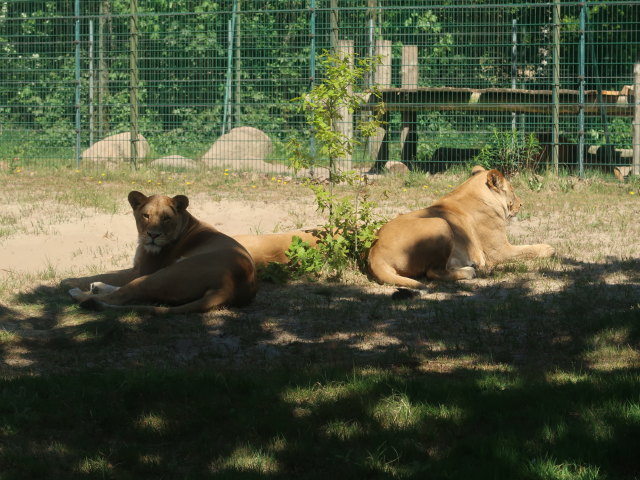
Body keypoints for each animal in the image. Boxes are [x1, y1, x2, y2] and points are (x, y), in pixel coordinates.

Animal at [66, 191, 257, 313]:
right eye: (146, 216)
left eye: (166, 218)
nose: (153, 235)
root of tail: (230, 285)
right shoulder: (138, 268)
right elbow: (112, 274)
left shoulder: (143, 270)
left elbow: (107, 274)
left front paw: (67, 281)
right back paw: (96, 288)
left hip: (164, 274)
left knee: (120, 296)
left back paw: (80, 295)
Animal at [367, 166, 555, 289]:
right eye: (512, 190)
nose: (521, 204)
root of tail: (375, 253)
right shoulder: (498, 251)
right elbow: (528, 249)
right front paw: (549, 249)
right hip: (441, 223)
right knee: (433, 272)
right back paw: (470, 271)